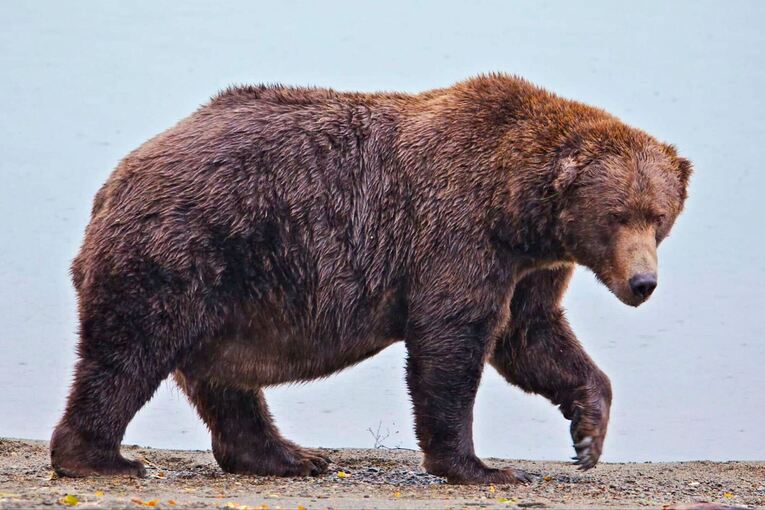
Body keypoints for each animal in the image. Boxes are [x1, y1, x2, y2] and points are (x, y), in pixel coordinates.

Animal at [50, 73, 691, 484]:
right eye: (617, 214)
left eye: (658, 216)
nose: (642, 283)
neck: (516, 208)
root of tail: (114, 181)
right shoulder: (457, 233)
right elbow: (452, 342)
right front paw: (481, 467)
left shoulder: (532, 266)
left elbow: (531, 337)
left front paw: (587, 434)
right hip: (186, 249)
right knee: (129, 352)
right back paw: (102, 458)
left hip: (227, 290)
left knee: (223, 381)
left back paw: (287, 457)